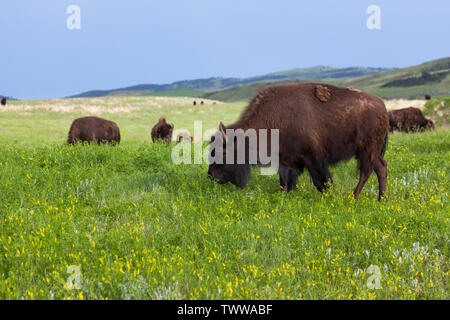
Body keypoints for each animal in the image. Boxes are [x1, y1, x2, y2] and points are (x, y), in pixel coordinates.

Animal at [209, 84, 388, 201]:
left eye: (222, 152)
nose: (211, 175)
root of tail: (383, 107)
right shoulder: (285, 160)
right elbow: (285, 181)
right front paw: (285, 196)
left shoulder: (313, 158)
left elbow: (321, 181)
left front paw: (328, 197)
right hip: (370, 151)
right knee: (380, 168)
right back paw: (381, 199)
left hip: (367, 150)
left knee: (367, 171)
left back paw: (355, 197)